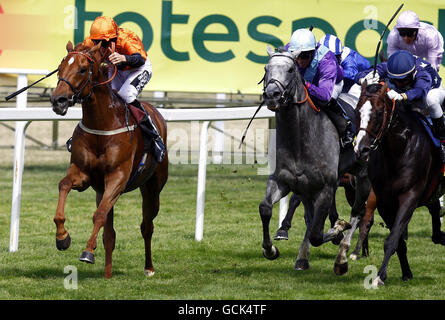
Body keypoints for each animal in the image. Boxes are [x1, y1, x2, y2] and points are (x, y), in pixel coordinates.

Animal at [48, 42, 166, 278]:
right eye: (60, 68)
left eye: (82, 70)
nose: (58, 101)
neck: (102, 124)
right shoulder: (84, 175)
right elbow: (64, 185)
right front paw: (62, 237)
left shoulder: (117, 177)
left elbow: (99, 215)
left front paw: (87, 252)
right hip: (101, 190)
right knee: (110, 234)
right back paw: (108, 273)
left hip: (153, 188)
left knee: (147, 226)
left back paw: (149, 267)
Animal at [354, 80, 444, 284]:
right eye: (357, 110)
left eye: (379, 113)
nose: (361, 149)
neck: (398, 148)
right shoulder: (384, 200)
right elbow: (398, 240)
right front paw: (406, 272)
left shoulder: (410, 195)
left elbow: (393, 238)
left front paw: (379, 277)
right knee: (435, 210)